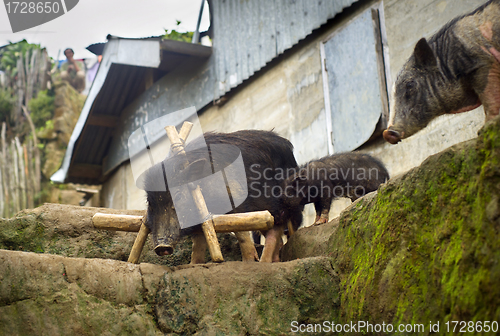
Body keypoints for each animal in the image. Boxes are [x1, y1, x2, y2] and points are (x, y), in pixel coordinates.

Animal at [143, 130, 302, 264]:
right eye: (150, 203)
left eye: (178, 195)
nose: (161, 246)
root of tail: (288, 146)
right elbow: (199, 243)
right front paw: (194, 264)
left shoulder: (235, 198)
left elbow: (241, 232)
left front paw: (248, 262)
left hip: (280, 203)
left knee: (277, 228)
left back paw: (264, 262)